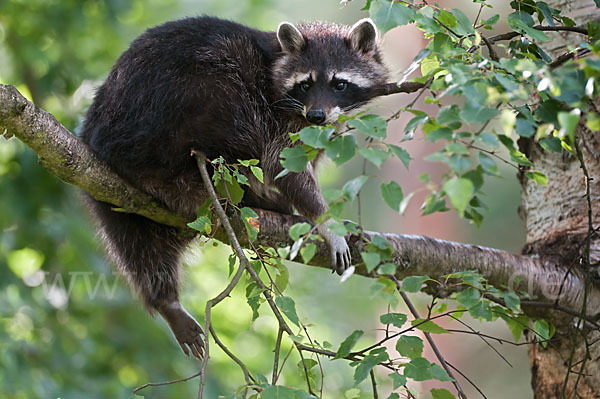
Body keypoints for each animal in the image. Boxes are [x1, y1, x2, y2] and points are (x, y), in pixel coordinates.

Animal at [81, 15, 390, 360]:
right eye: (305, 84)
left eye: (339, 84)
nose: (317, 114)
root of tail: (97, 137)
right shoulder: (278, 118)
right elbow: (282, 166)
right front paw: (324, 220)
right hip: (173, 110)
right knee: (236, 114)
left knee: (138, 244)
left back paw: (165, 297)